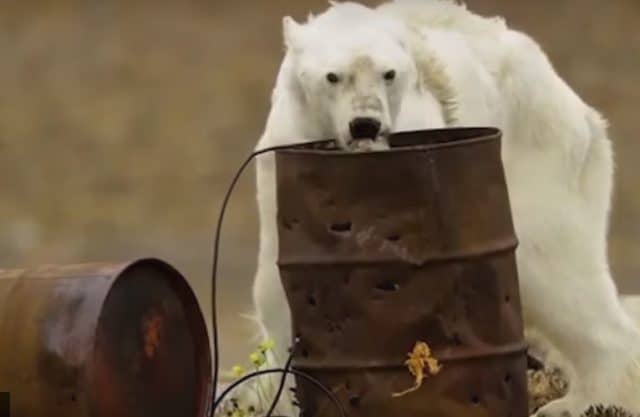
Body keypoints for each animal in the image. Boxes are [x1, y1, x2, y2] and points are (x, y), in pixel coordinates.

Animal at [246, 0, 640, 416]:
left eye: (389, 73)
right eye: (333, 76)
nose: (366, 124)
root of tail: (578, 107)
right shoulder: (281, 162)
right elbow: (277, 289)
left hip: (536, 161)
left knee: (556, 272)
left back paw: (580, 401)